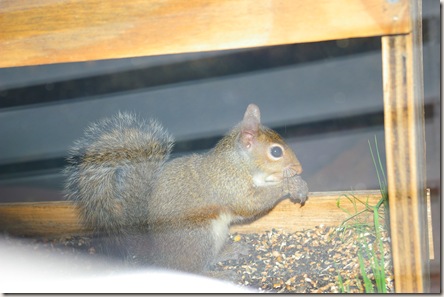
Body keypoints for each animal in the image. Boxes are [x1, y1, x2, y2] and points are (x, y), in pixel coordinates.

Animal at [64, 103, 308, 272]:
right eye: (276, 152)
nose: (299, 167)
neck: (239, 163)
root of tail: (158, 257)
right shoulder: (228, 184)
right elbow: (250, 203)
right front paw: (290, 184)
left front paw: (298, 183)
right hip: (199, 237)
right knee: (194, 269)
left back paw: (229, 253)